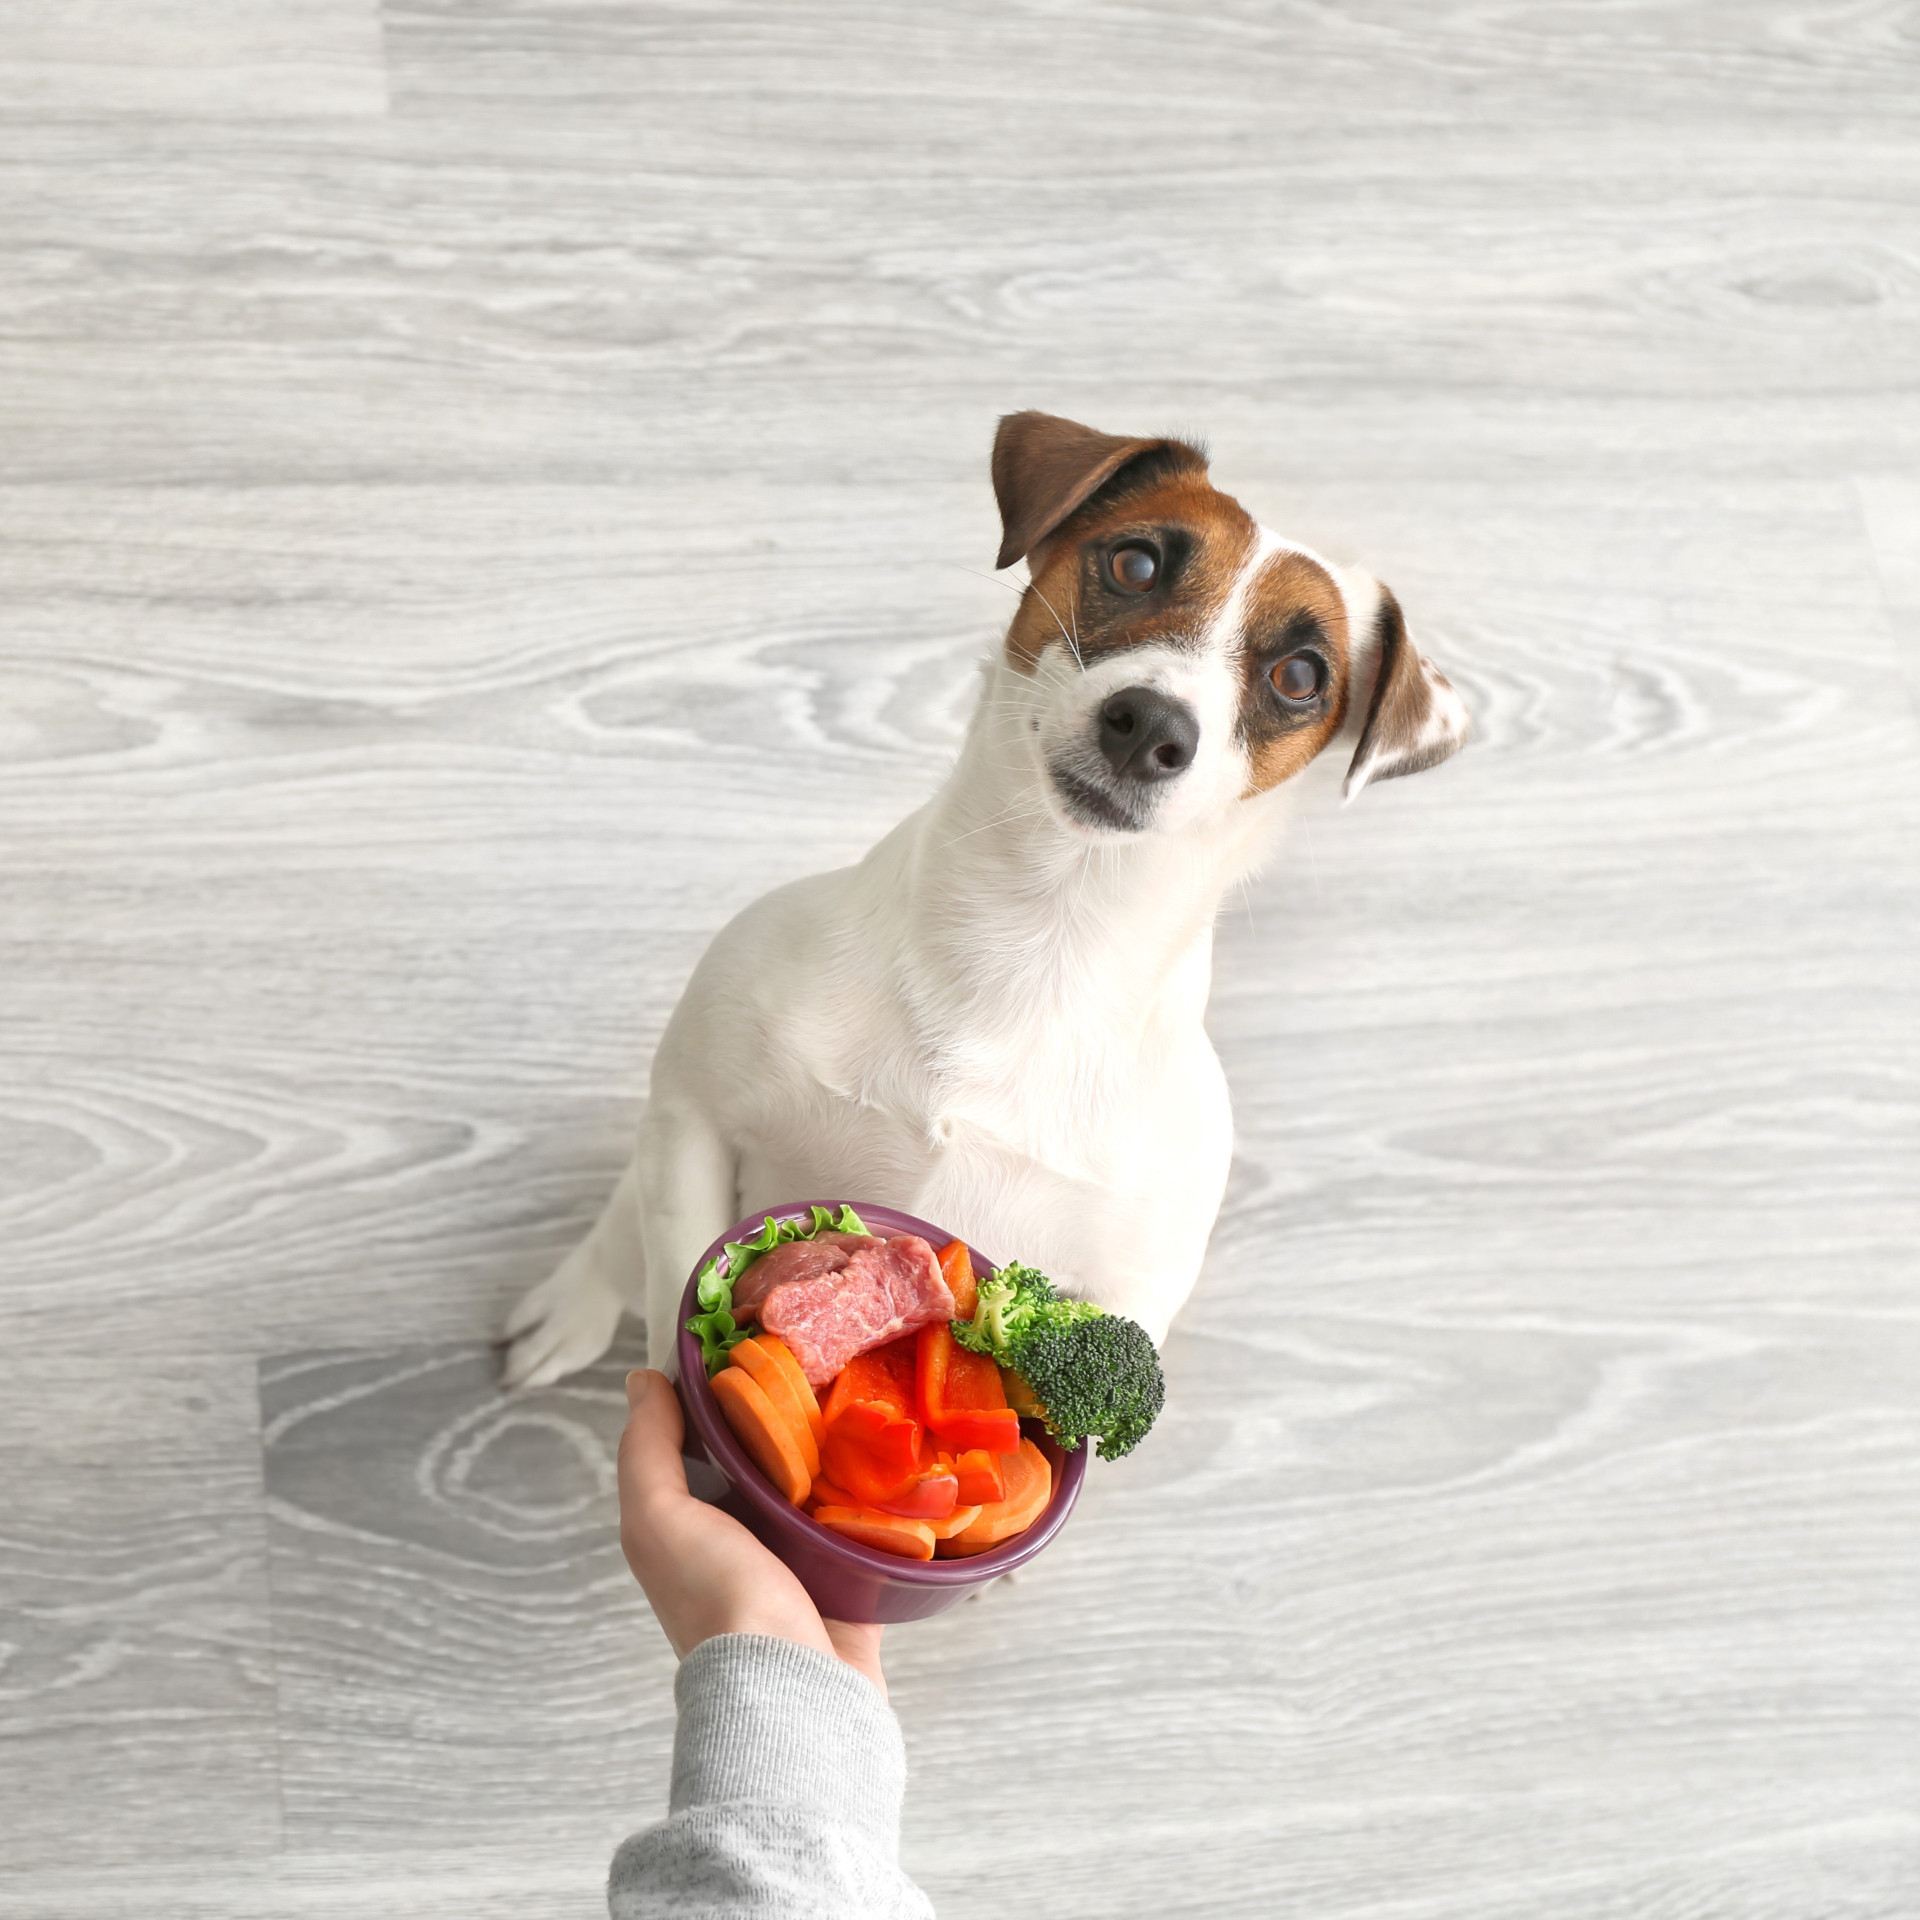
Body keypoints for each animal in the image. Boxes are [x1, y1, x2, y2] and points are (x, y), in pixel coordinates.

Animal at [499, 412, 1466, 1390]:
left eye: (1301, 677)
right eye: (1137, 563)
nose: (1151, 725)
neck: (1037, 926)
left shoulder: (1124, 1294)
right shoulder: (696, 1113)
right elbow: (672, 1289)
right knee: (621, 1229)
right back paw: (572, 1303)